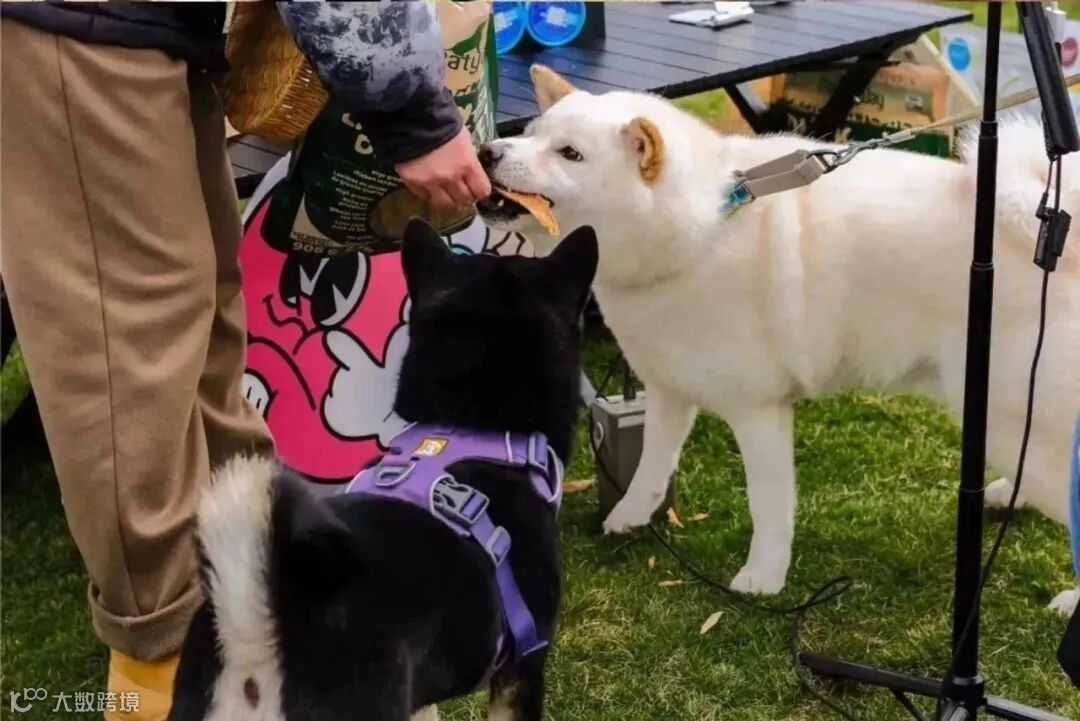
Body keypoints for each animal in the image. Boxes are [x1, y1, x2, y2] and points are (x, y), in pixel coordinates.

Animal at [477, 64, 1080, 615]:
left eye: (570, 154)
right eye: (531, 132)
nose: (485, 151)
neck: (704, 229)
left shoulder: (758, 411)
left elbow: (768, 506)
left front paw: (763, 578)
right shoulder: (670, 388)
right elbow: (652, 464)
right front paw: (630, 514)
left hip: (1010, 416)